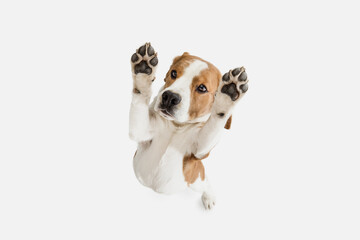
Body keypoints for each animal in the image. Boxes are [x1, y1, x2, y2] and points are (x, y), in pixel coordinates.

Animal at [128, 43, 249, 210]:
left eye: (202, 88)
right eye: (173, 73)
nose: (169, 97)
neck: (176, 126)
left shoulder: (200, 149)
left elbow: (215, 121)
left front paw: (229, 93)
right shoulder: (141, 131)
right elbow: (140, 97)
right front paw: (143, 71)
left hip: (195, 181)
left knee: (206, 182)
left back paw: (209, 197)